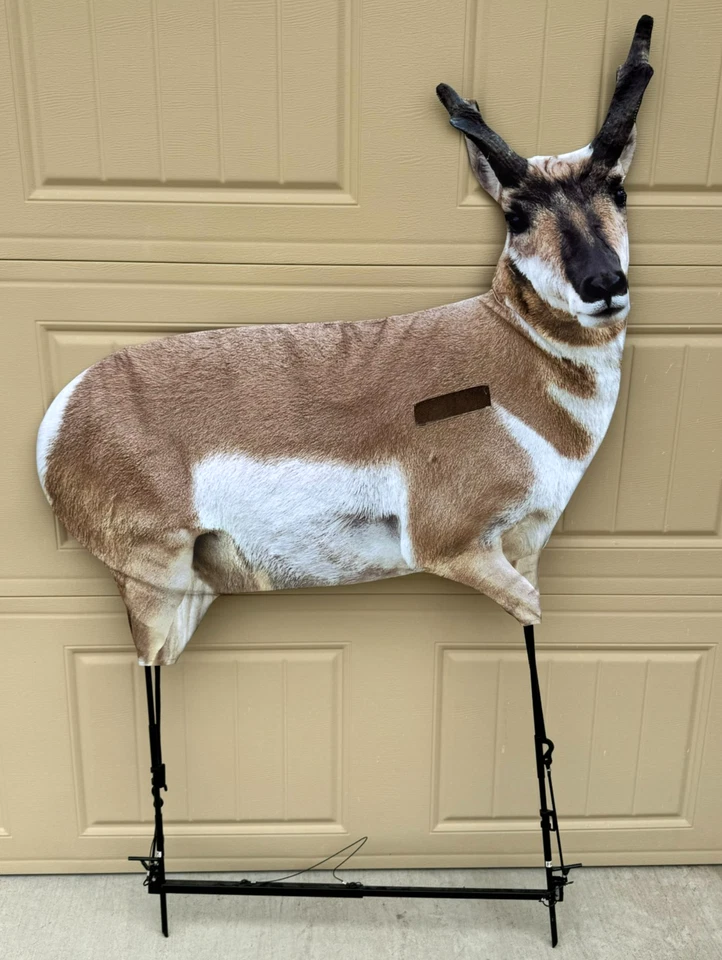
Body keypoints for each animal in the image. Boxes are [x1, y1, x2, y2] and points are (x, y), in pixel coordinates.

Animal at [37, 18, 654, 667]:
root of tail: (62, 415)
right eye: (516, 215)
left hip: (193, 592)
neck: (507, 348)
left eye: (619, 191)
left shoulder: (528, 545)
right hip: (157, 586)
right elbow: (528, 610)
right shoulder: (454, 546)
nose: (603, 284)